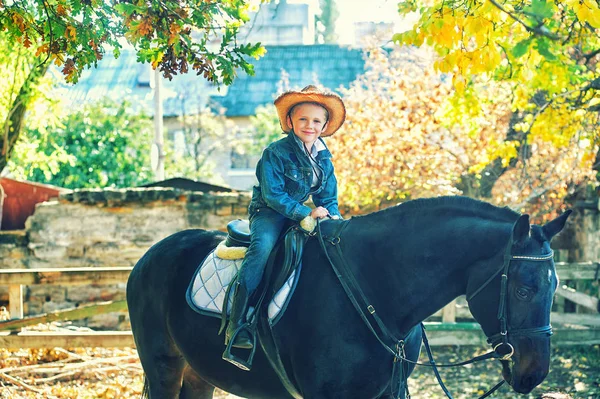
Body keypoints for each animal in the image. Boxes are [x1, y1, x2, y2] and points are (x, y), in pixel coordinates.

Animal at [127, 198, 572, 399]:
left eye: (555, 287)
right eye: (523, 289)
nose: (534, 373)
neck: (376, 291)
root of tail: (149, 257)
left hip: (198, 374)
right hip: (164, 368)